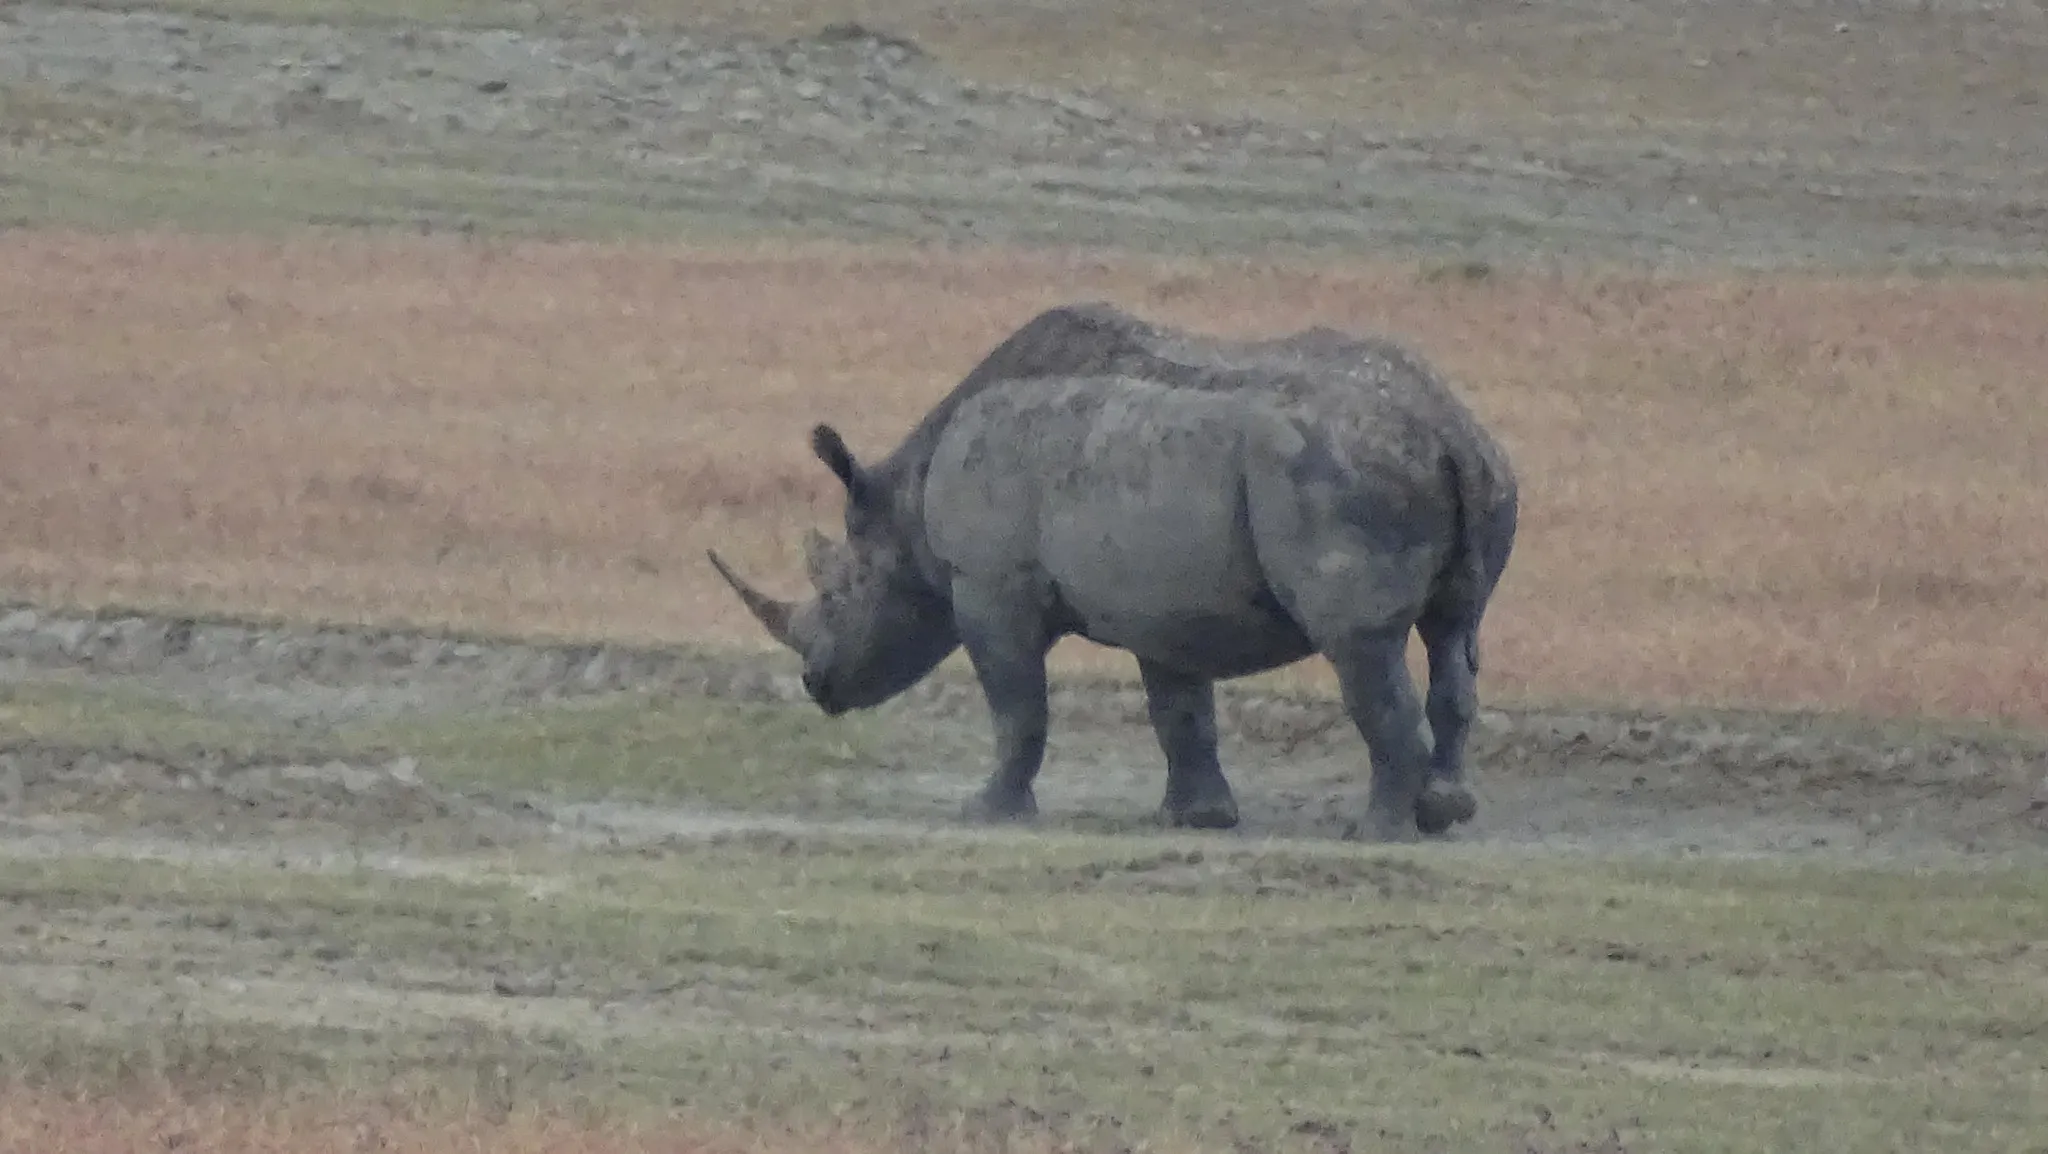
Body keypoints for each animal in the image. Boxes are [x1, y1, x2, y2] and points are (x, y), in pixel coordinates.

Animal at [707, 302, 1518, 841]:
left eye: (840, 593)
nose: (816, 685)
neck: (904, 504)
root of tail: (1447, 431)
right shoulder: (1171, 602)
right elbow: (1179, 711)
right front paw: (1196, 819)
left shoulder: (989, 586)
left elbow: (1017, 705)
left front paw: (988, 813)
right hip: (1477, 471)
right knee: (1456, 634)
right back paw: (1445, 812)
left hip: (1336, 473)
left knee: (1360, 646)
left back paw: (1376, 832)